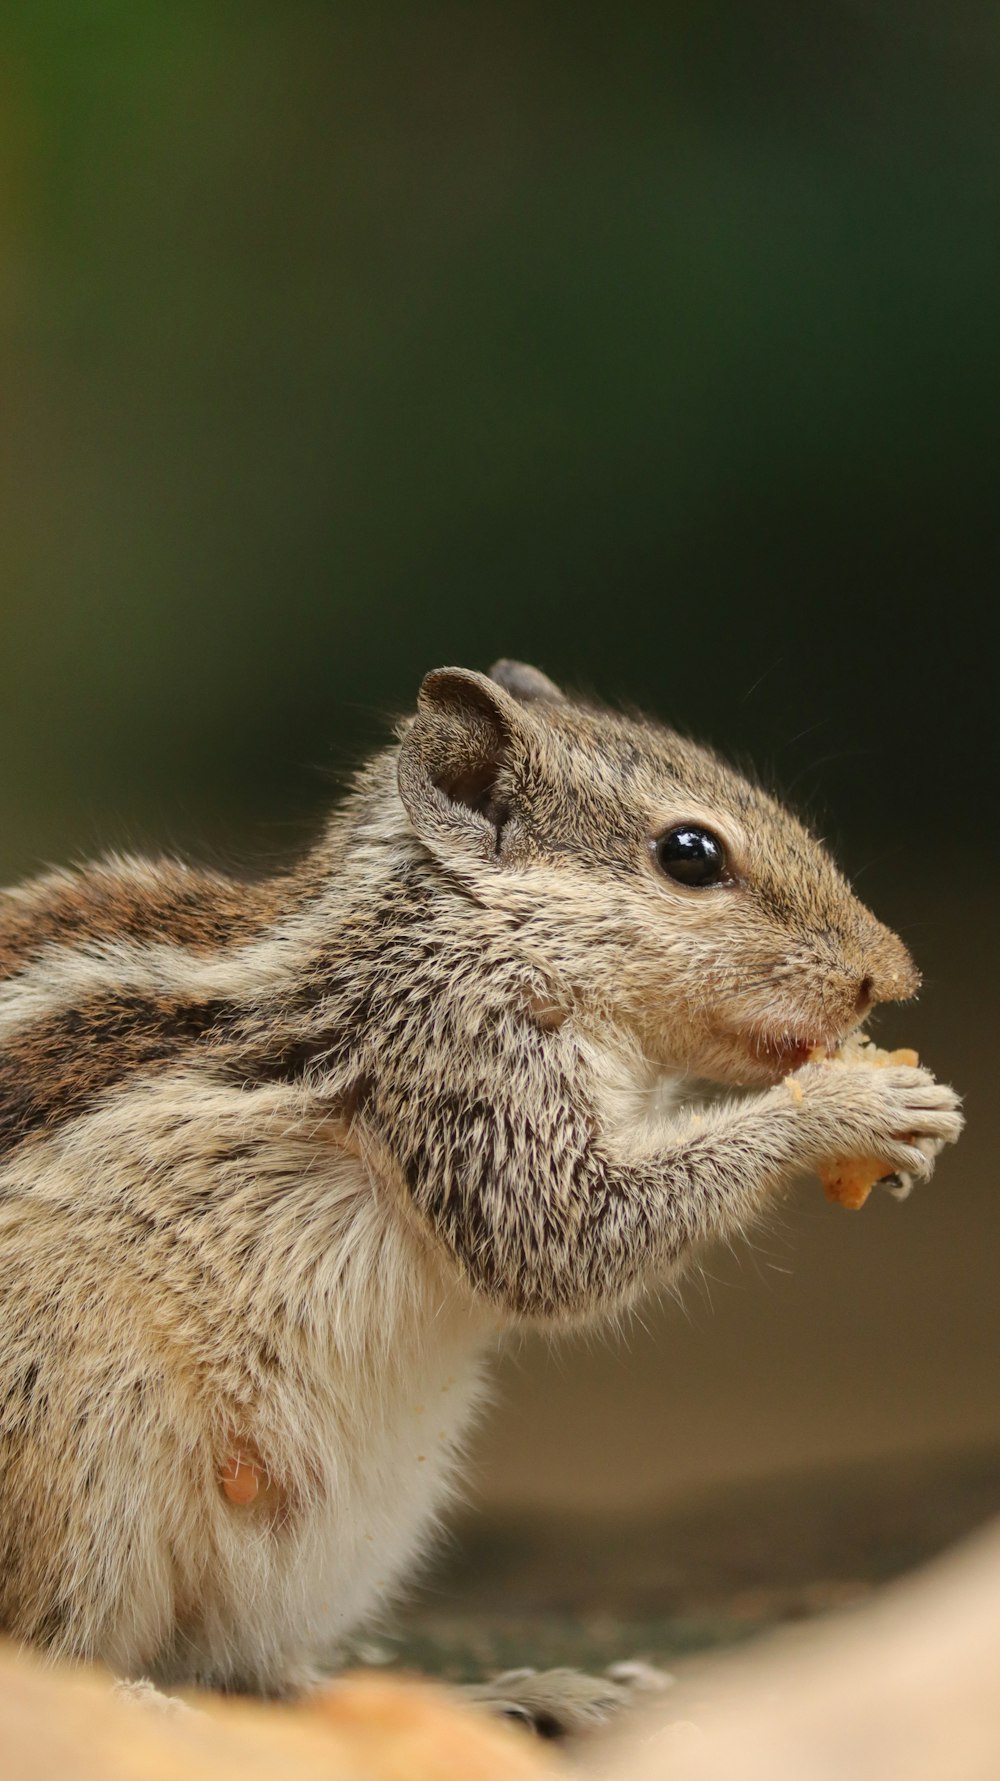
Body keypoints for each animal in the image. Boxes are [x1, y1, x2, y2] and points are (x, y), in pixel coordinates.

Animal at [0, 662, 962, 1702]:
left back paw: (517, 1692)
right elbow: (563, 1238)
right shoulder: (461, 1062)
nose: (891, 976)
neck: (468, 935)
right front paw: (854, 1104)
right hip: (75, 1458)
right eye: (691, 854)